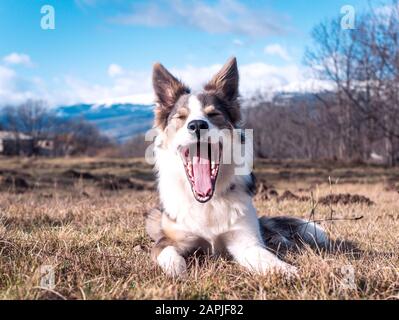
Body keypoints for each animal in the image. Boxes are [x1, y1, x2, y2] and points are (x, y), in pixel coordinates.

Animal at [146, 57, 328, 278]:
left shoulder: (246, 242)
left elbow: (268, 259)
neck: (208, 202)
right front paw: (177, 271)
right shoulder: (168, 240)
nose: (197, 125)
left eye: (213, 114)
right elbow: (169, 254)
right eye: (181, 117)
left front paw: (288, 271)